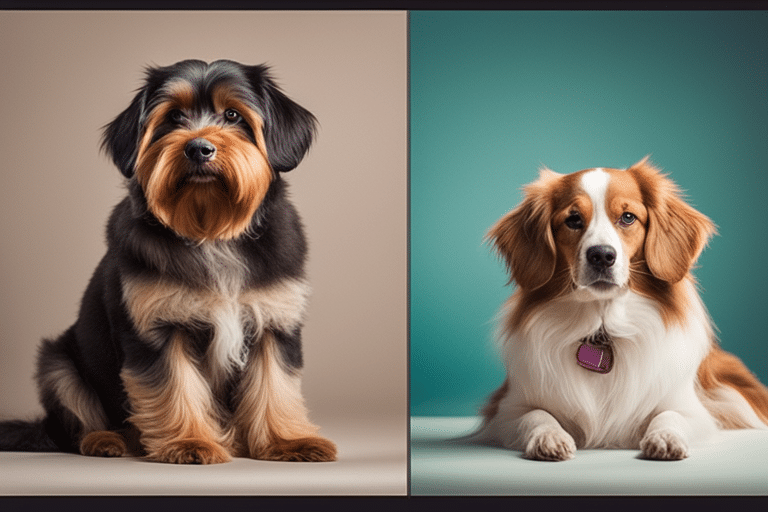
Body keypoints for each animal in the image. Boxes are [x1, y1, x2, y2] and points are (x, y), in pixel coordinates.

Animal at [0, 59, 336, 464]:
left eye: (233, 114)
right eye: (174, 116)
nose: (199, 148)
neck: (211, 232)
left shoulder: (274, 321)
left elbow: (275, 385)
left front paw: (287, 442)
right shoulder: (158, 326)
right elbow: (175, 385)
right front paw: (189, 442)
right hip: (58, 363)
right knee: (75, 419)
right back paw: (104, 440)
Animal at [474, 158, 768, 462]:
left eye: (628, 217)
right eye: (573, 220)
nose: (602, 255)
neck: (602, 323)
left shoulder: (692, 410)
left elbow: (670, 414)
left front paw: (665, 437)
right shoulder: (506, 410)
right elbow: (535, 415)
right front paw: (549, 436)